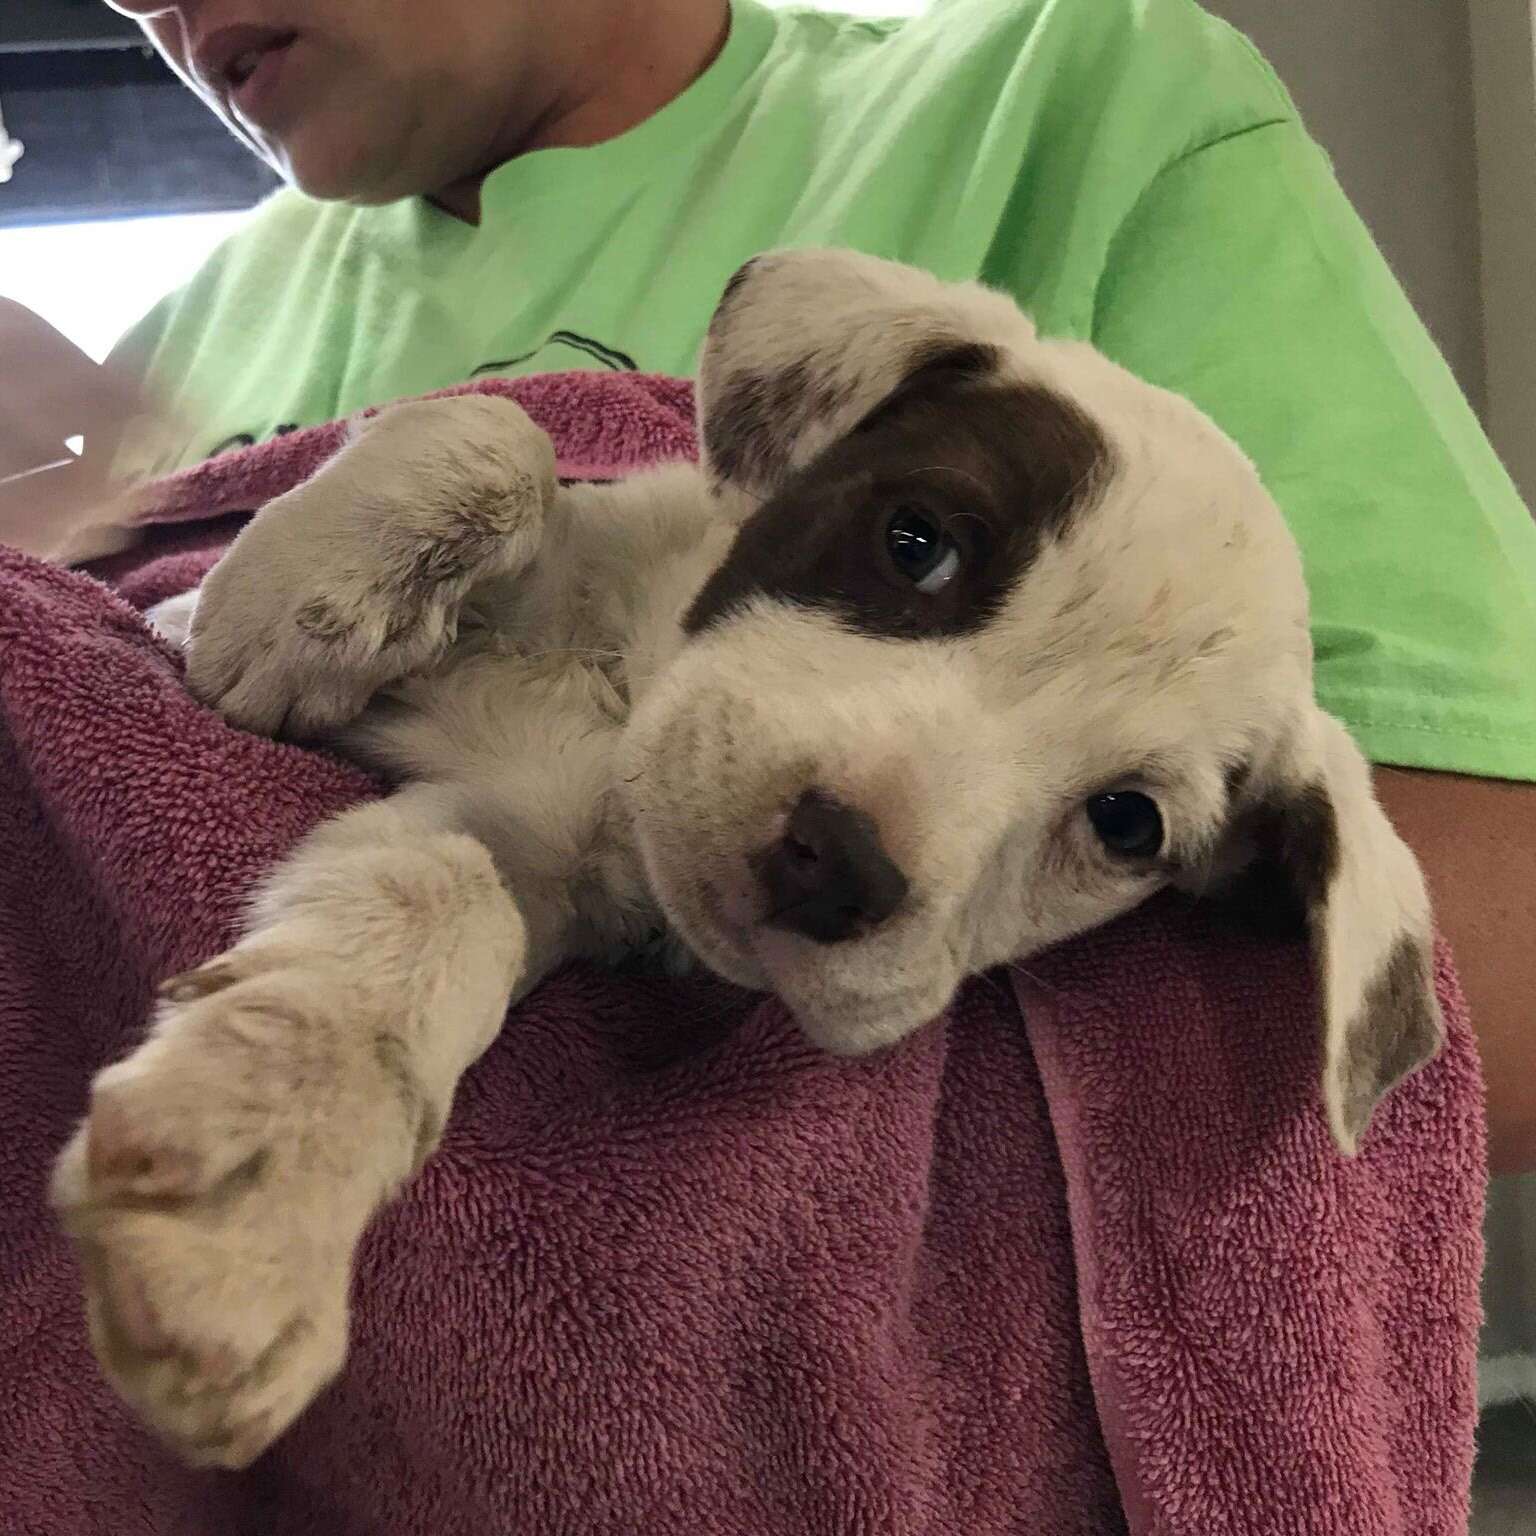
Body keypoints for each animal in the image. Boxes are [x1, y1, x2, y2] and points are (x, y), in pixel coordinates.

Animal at [48, 248, 1437, 1462]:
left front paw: (260, 1181)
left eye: (1127, 822)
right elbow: (502, 436)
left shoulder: (505, 837)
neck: (629, 696)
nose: (839, 862)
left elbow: (439, 903)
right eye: (916, 541)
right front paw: (289, 603)